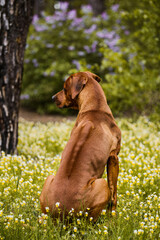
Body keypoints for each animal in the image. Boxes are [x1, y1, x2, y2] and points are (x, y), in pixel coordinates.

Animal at [40, 70, 121, 220]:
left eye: (64, 88)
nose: (53, 97)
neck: (95, 108)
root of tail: (64, 213)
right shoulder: (114, 157)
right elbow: (114, 193)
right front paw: (112, 216)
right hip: (101, 183)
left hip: (49, 178)